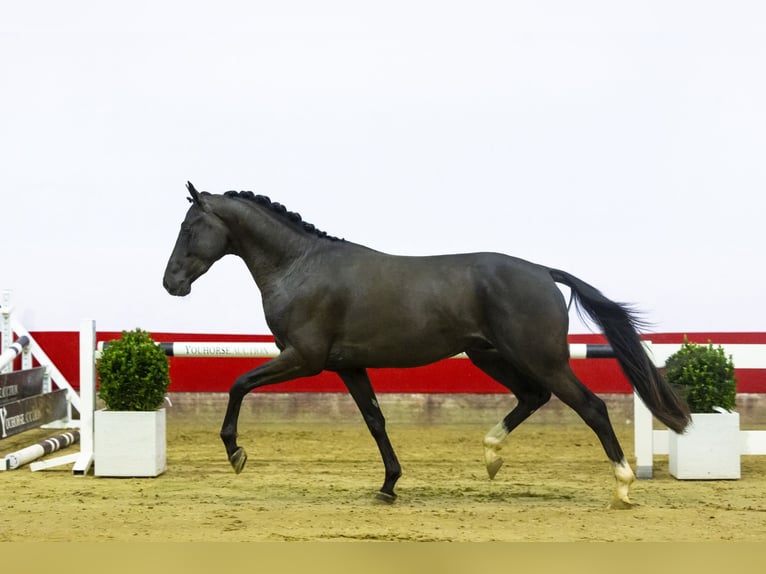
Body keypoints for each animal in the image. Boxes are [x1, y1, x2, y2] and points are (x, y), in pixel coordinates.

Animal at [162, 182, 688, 510]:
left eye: (188, 227)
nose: (171, 283)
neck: (300, 267)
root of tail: (543, 272)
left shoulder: (304, 359)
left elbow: (238, 383)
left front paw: (236, 454)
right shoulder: (346, 366)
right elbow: (375, 421)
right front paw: (388, 486)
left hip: (540, 358)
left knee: (591, 406)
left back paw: (622, 488)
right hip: (491, 355)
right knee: (533, 397)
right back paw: (492, 456)